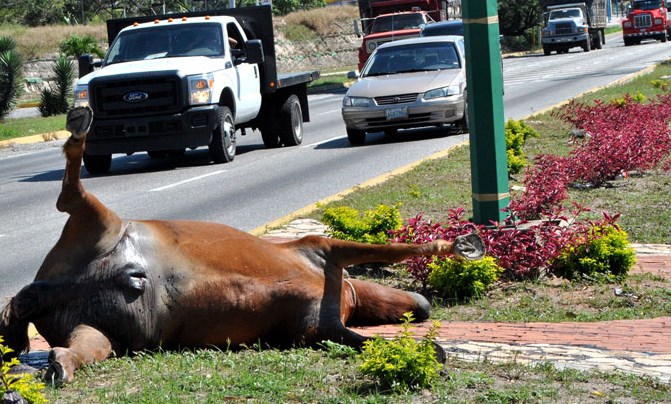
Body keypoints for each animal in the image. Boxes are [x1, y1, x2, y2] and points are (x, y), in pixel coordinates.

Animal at [0, 106, 484, 382]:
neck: (340, 290)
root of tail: (43, 293)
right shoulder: (326, 248)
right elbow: (390, 251)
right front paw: (463, 245)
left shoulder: (320, 326)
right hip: (100, 222)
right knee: (69, 194)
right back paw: (80, 124)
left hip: (103, 328)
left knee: (80, 347)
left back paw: (61, 365)